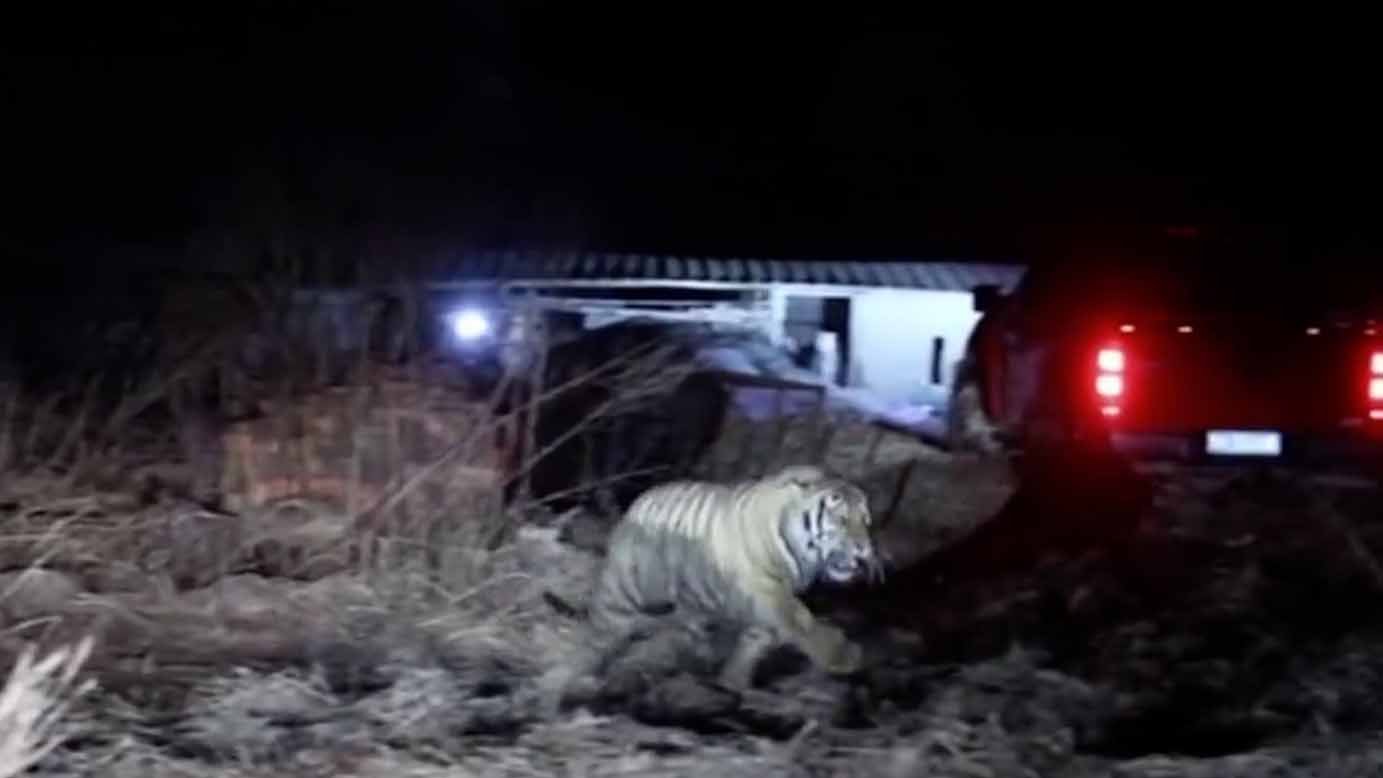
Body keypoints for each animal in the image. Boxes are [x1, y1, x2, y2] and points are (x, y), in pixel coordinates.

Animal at [555, 461, 879, 693]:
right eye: (841, 519)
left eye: (865, 521)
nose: (864, 549)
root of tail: (637, 503)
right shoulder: (765, 585)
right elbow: (800, 617)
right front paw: (845, 656)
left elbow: (756, 639)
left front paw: (733, 682)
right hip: (623, 592)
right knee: (602, 631)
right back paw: (575, 675)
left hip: (692, 596)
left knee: (692, 625)